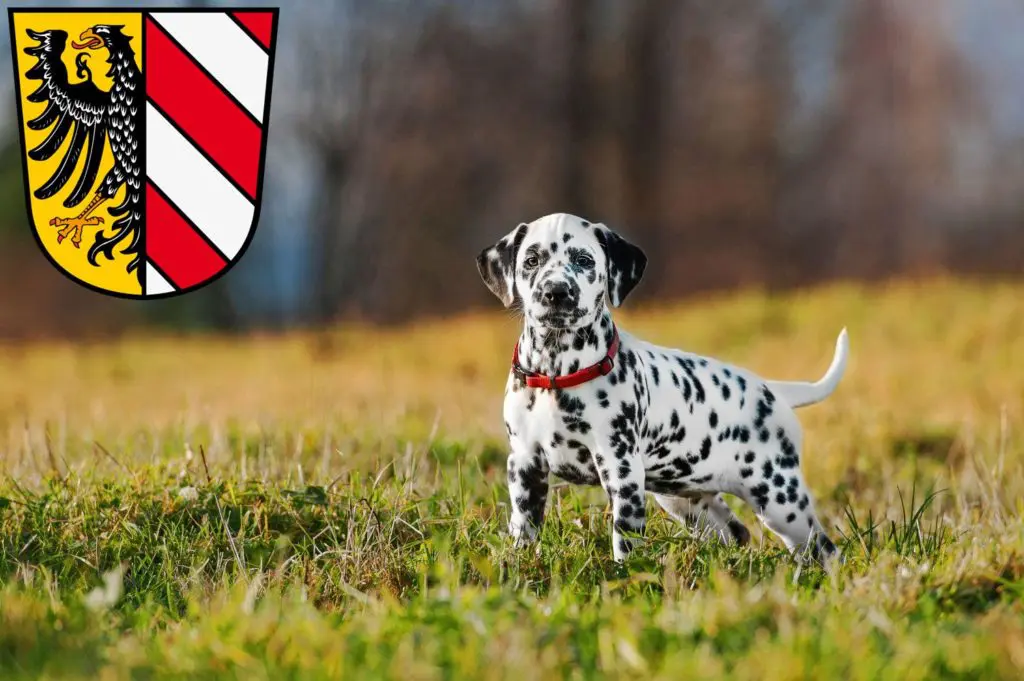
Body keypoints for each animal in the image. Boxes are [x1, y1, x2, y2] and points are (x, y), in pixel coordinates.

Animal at [477, 213, 847, 561]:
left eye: (584, 260)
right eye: (531, 260)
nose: (556, 292)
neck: (558, 373)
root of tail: (775, 390)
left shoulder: (621, 470)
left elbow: (625, 538)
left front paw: (624, 574)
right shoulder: (525, 466)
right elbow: (524, 528)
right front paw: (519, 564)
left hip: (779, 499)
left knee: (825, 549)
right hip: (687, 500)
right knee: (736, 533)